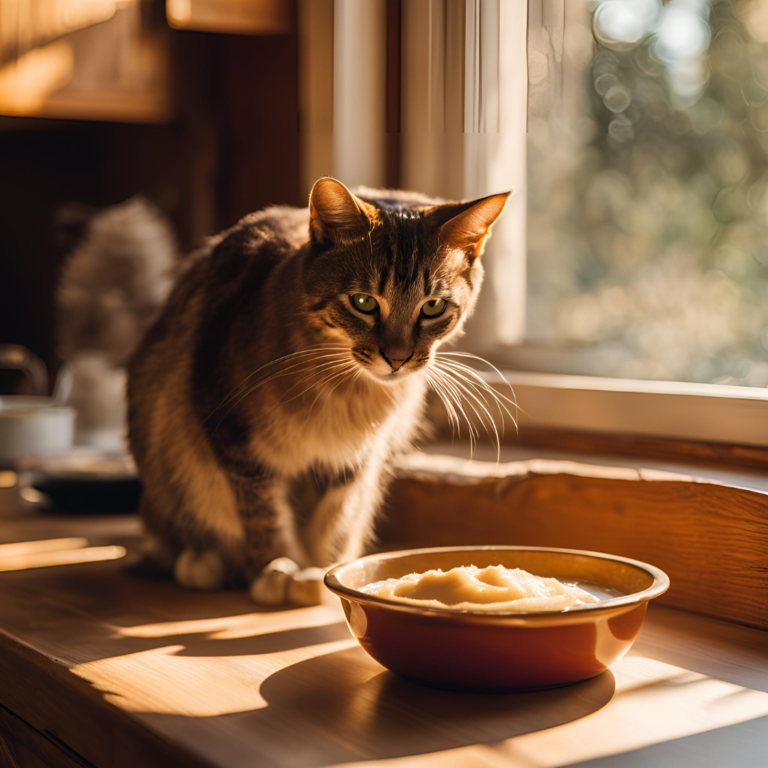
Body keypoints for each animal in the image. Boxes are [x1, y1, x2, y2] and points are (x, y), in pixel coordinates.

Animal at [127, 180, 510, 608]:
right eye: (363, 302)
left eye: (433, 307)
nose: (397, 359)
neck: (342, 388)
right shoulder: (232, 433)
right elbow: (266, 517)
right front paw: (276, 569)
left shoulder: (351, 460)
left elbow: (332, 518)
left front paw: (319, 571)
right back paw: (202, 563)